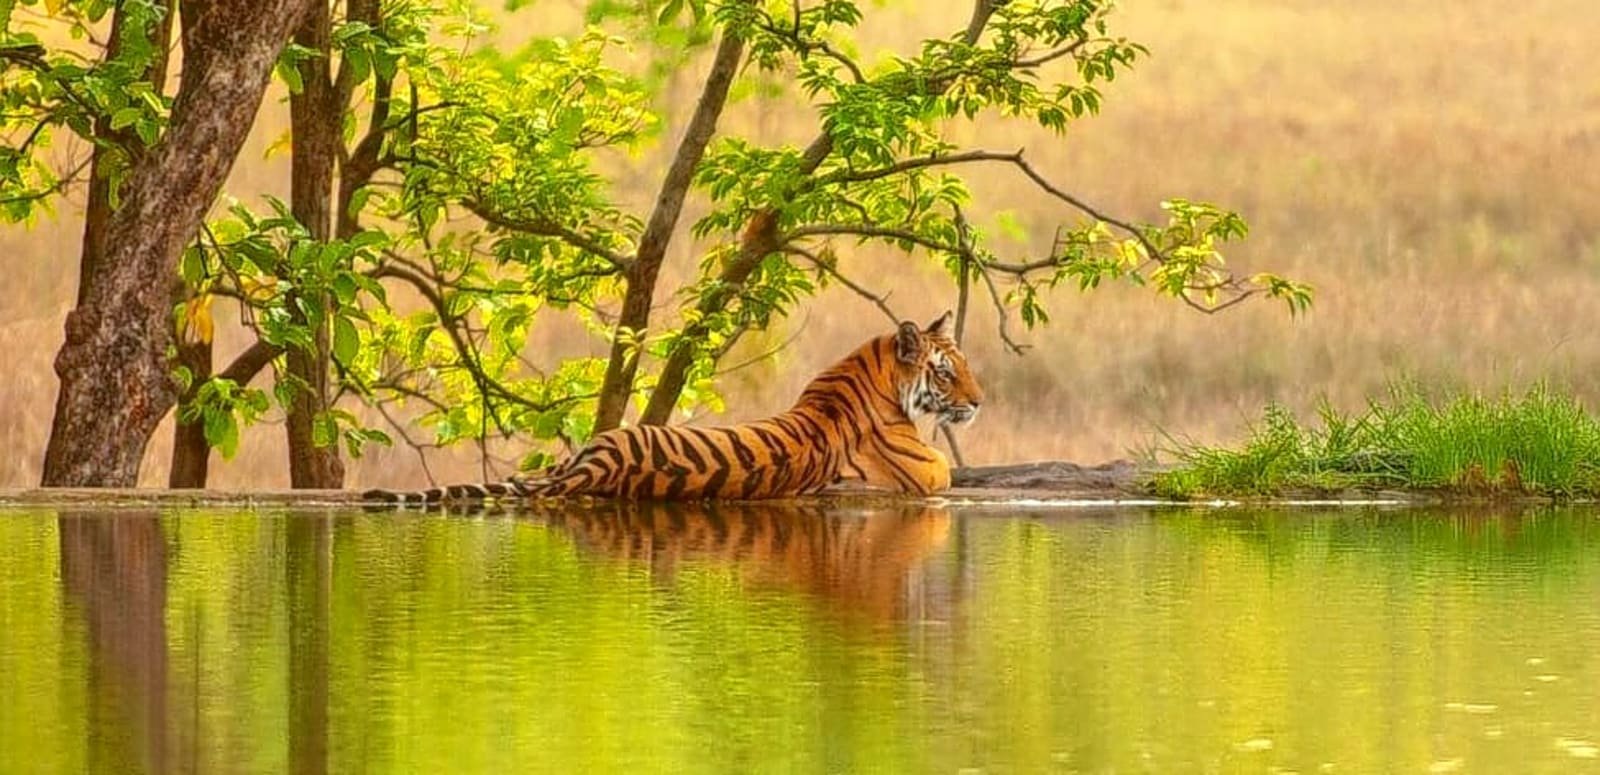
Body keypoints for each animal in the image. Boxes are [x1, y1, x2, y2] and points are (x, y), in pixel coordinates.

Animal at [363, 311, 983, 505]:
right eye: (946, 372)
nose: (979, 403)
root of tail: (597, 465)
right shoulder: (929, 470)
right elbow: (948, 469)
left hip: (578, 453)